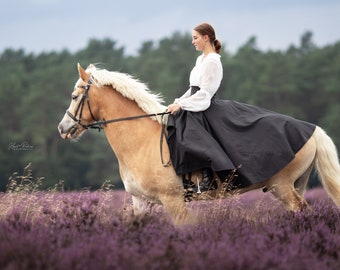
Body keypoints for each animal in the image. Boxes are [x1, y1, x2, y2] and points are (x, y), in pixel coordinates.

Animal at [57, 63, 340, 226]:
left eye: (74, 96)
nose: (63, 128)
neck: (140, 141)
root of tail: (311, 129)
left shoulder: (173, 201)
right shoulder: (141, 201)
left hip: (281, 186)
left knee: (301, 210)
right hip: (295, 184)